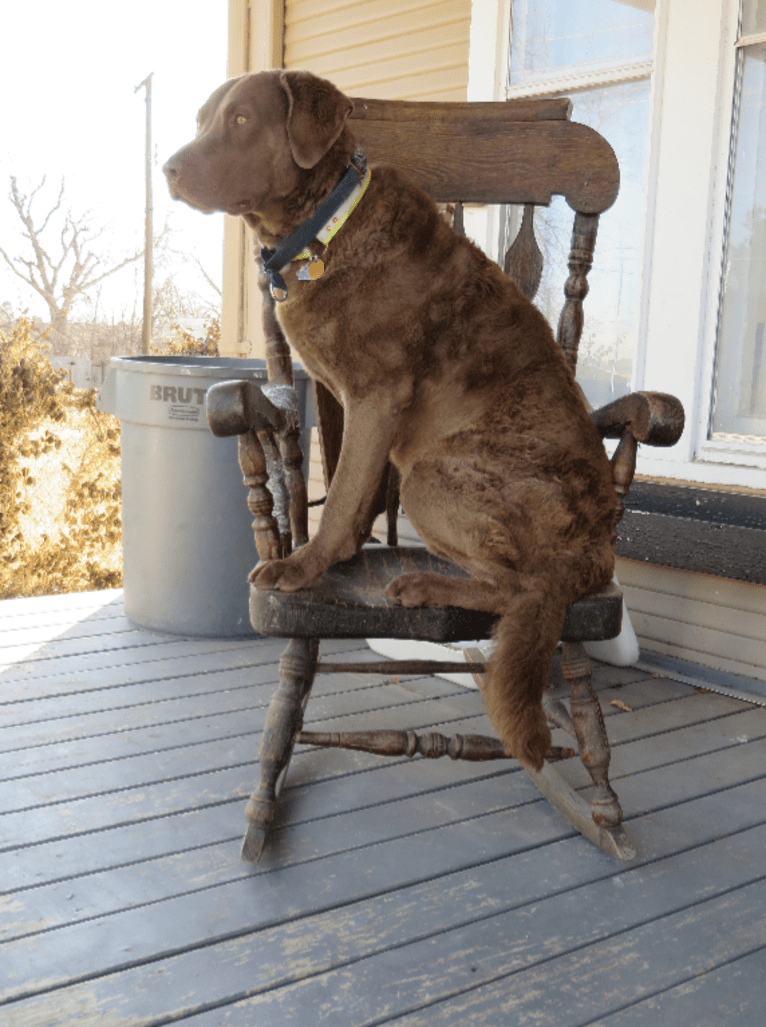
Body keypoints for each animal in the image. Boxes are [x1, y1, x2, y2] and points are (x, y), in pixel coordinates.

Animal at [162, 70, 616, 772]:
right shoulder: (345, 398)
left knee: (523, 589)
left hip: (434, 478)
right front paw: (342, 551)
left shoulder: (376, 394)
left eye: (240, 121)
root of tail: (599, 550)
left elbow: (344, 489)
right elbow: (355, 490)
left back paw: (423, 584)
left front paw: (301, 567)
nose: (170, 170)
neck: (324, 227)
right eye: (203, 119)